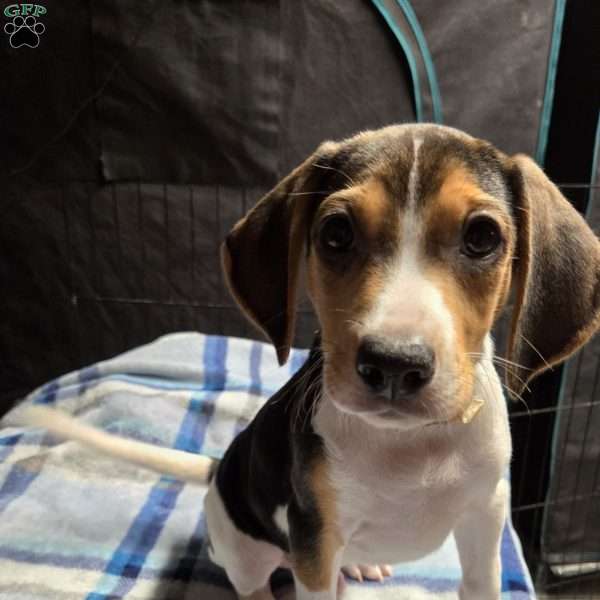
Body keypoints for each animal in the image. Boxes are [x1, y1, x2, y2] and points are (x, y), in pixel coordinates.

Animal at [19, 123, 600, 600]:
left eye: (482, 237)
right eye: (336, 233)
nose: (394, 364)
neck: (409, 447)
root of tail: (218, 470)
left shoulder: (486, 515)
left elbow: (480, 581)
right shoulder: (314, 539)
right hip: (245, 547)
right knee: (254, 584)